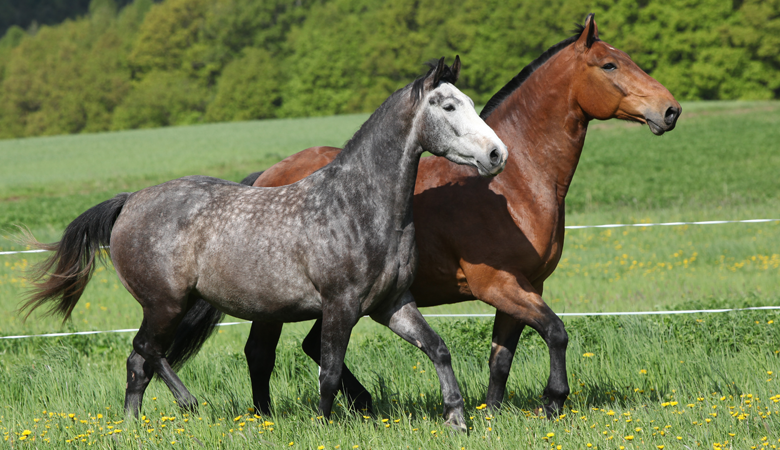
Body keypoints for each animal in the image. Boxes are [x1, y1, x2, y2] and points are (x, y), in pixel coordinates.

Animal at [21, 57, 508, 429]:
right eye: (449, 105)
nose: (497, 155)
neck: (356, 205)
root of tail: (130, 201)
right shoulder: (341, 305)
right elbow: (330, 373)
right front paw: (323, 425)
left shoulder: (392, 304)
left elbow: (438, 349)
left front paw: (457, 420)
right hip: (165, 303)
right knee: (147, 351)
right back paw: (189, 403)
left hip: (173, 307)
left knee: (138, 364)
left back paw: (132, 427)